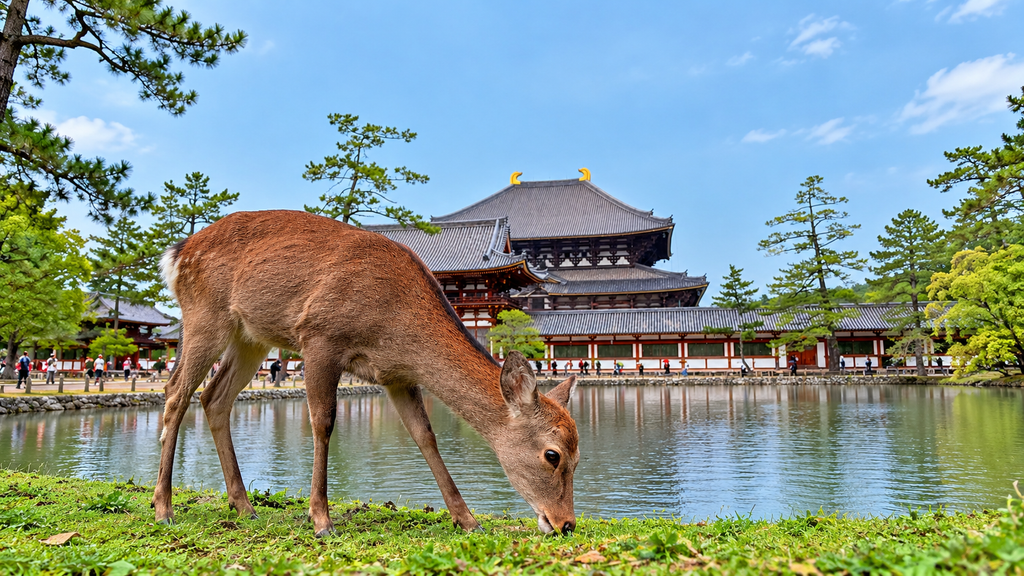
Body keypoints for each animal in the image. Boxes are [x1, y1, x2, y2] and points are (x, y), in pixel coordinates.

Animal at [154, 210, 579, 537]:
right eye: (552, 454)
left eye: (579, 458)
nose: (566, 524)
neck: (397, 327)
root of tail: (176, 254)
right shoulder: (321, 337)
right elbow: (323, 422)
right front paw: (322, 521)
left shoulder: (397, 376)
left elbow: (425, 436)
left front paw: (468, 520)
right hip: (205, 314)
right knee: (175, 392)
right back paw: (164, 508)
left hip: (250, 336)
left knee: (214, 397)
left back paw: (243, 506)